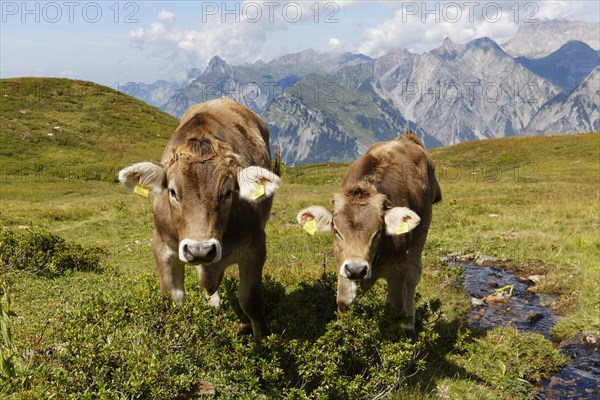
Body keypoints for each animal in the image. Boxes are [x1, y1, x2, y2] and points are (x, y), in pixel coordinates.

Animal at [118, 97, 280, 340]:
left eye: (228, 193)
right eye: (173, 192)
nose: (200, 250)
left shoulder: (255, 247)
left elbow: (251, 302)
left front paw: (262, 342)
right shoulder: (162, 246)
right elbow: (171, 300)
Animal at [296, 132, 440, 334]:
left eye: (378, 231)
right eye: (337, 231)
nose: (356, 269)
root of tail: (407, 137)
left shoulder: (398, 269)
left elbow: (394, 308)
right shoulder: (342, 262)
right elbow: (343, 301)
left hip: (422, 230)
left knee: (412, 277)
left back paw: (410, 324)